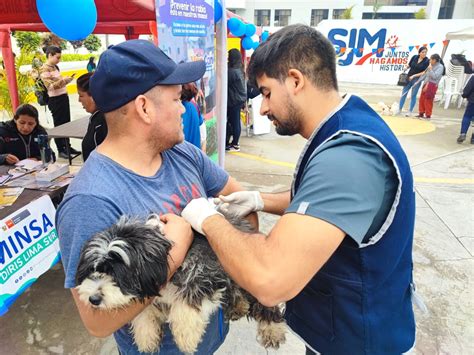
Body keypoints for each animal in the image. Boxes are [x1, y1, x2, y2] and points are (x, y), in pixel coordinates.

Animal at [77, 214, 286, 354]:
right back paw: (237, 305)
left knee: (263, 301)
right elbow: (143, 310)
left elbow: (187, 303)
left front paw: (186, 336)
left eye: (117, 274)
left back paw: (272, 329)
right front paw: (146, 335)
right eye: (93, 270)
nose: (93, 299)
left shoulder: (204, 270)